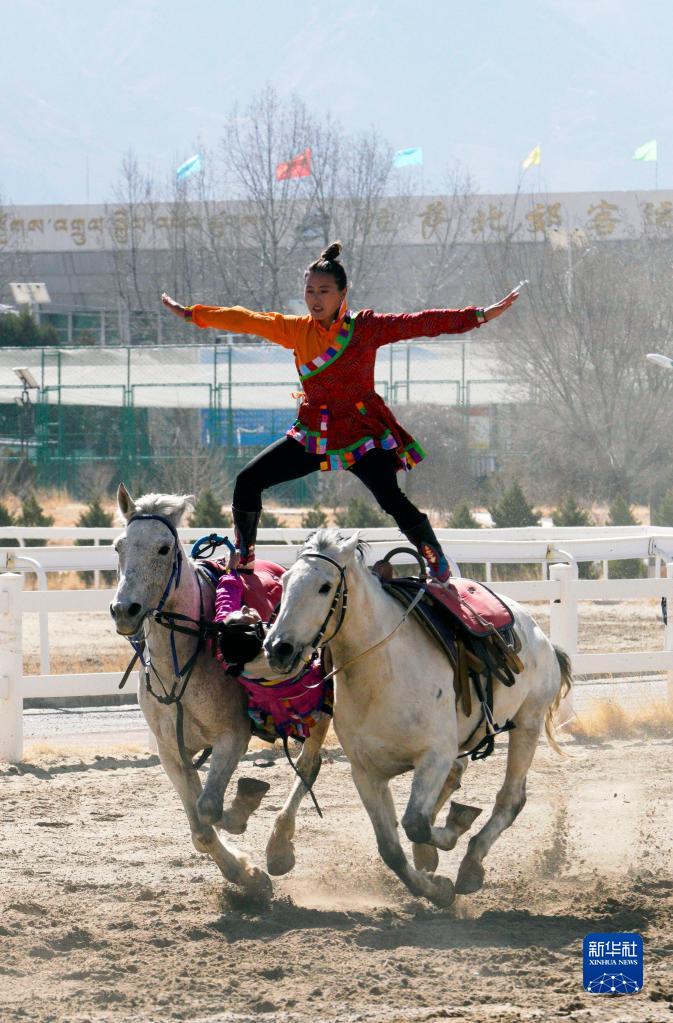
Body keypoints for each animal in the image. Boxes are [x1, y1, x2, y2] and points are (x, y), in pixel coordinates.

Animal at [110, 484, 330, 896]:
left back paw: (279, 848)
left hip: (320, 709)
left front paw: (244, 811)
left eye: (164, 548)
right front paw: (245, 874)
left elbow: (211, 807)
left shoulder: (232, 737)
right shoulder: (171, 752)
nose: (124, 610)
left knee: (308, 763)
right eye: (119, 546)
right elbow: (200, 829)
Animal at [264, 529, 572, 908]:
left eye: (325, 586)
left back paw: (471, 863)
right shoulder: (366, 772)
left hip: (527, 724)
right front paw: (434, 888)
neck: (382, 671)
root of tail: (542, 638)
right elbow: (391, 847)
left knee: (510, 798)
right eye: (285, 581)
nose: (277, 648)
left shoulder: (434, 756)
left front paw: (450, 837)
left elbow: (416, 823)